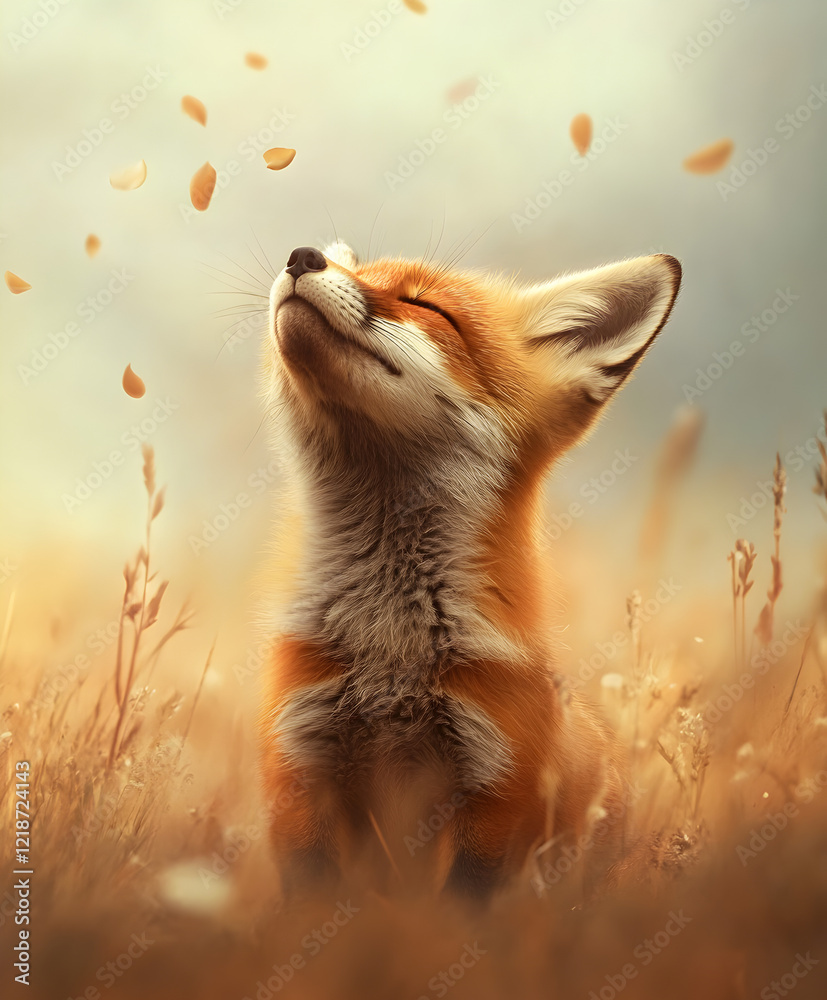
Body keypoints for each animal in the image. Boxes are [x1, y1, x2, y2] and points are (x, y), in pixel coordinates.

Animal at [258, 240, 682, 901]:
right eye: (355, 271)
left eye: (427, 306)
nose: (301, 257)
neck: (390, 650)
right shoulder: (299, 768)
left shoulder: (495, 793)